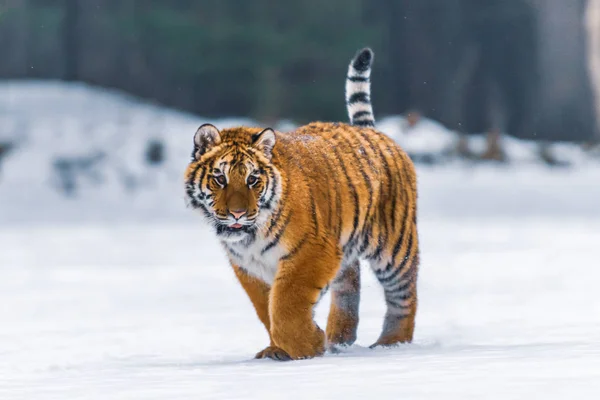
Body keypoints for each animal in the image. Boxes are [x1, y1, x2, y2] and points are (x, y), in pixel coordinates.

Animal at [185, 48, 420, 360]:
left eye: (252, 179)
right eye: (220, 179)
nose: (237, 213)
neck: (250, 238)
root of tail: (377, 135)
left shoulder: (312, 250)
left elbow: (286, 304)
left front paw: (306, 346)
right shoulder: (249, 267)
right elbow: (266, 309)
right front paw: (279, 349)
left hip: (394, 247)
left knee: (404, 297)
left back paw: (392, 343)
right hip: (347, 249)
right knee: (349, 287)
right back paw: (339, 339)